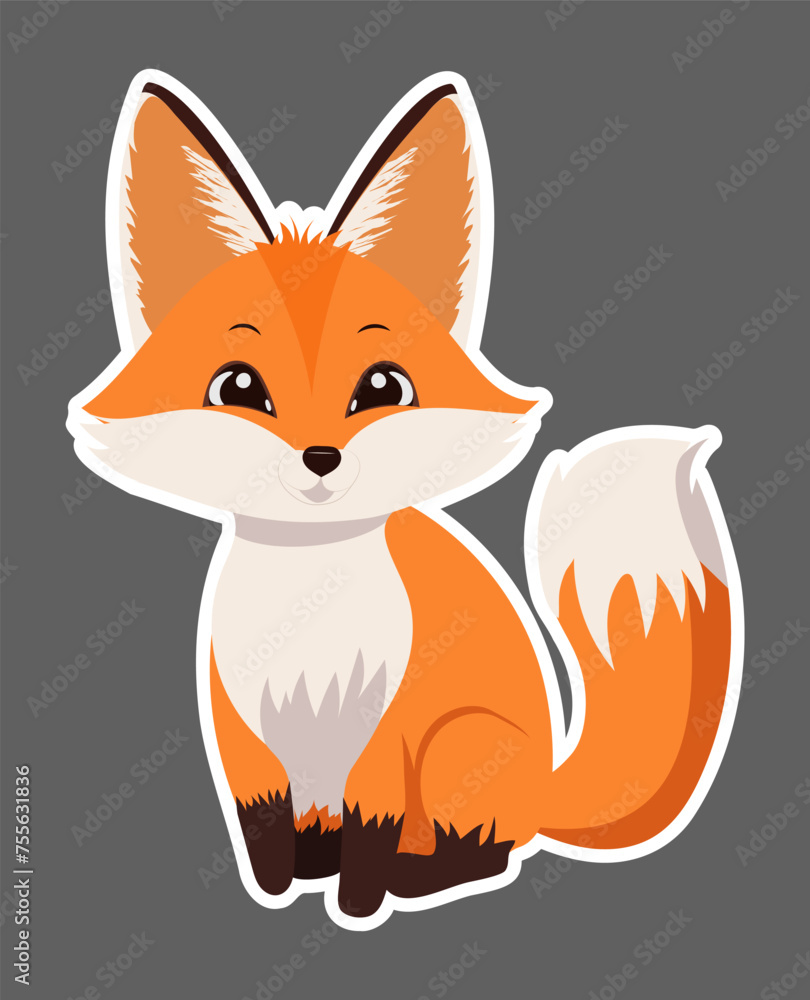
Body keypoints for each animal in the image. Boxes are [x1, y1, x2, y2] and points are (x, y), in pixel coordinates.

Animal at [67, 69, 743, 929]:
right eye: (239, 389)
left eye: (383, 388)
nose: (321, 459)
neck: (308, 605)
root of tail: (548, 785)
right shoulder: (244, 737)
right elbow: (266, 836)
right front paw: (281, 892)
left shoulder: (385, 741)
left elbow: (369, 840)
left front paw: (358, 908)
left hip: (461, 745)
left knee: (486, 852)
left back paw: (427, 878)